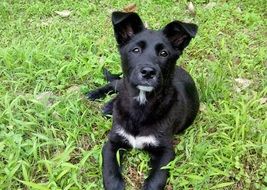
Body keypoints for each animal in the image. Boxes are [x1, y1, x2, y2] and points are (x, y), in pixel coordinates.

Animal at [89, 11, 200, 190]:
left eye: (164, 53)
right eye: (135, 50)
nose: (148, 72)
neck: (141, 106)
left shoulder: (166, 151)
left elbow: (156, 180)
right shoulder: (112, 143)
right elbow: (110, 172)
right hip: (124, 82)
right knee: (115, 83)